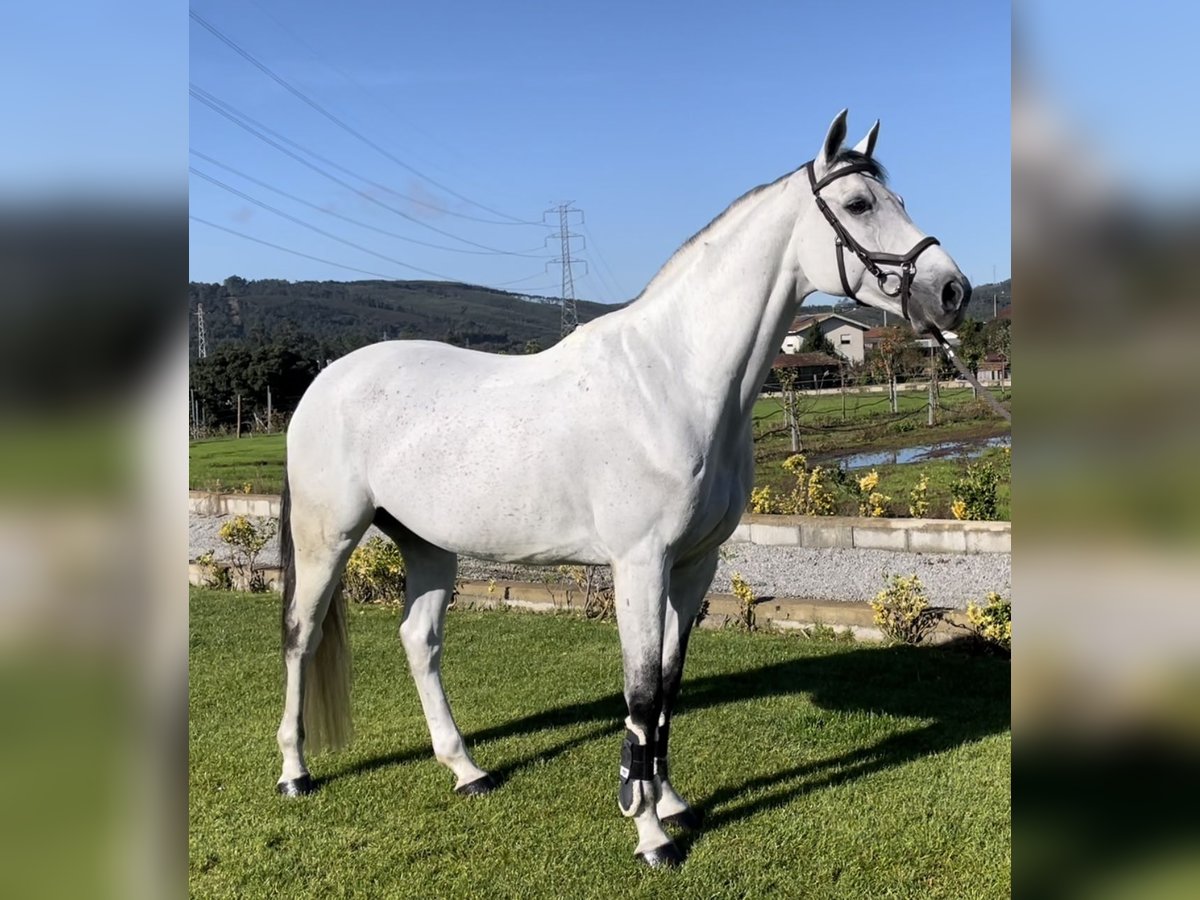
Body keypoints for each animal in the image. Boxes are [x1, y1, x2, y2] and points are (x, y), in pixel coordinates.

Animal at [276, 111, 969, 868]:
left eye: (896, 198)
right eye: (859, 204)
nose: (952, 292)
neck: (672, 381)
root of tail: (324, 382)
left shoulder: (694, 566)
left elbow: (666, 686)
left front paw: (667, 800)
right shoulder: (639, 563)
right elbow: (639, 693)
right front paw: (650, 836)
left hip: (429, 546)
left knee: (418, 640)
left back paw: (467, 770)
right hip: (329, 537)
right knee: (301, 636)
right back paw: (294, 773)